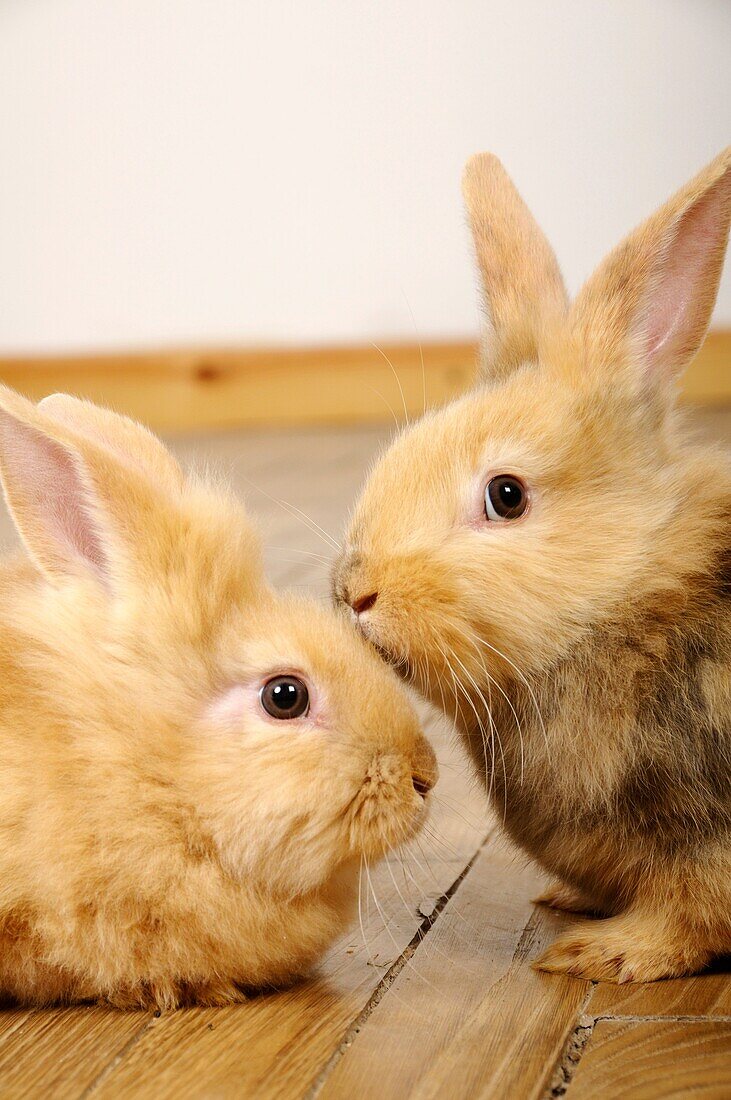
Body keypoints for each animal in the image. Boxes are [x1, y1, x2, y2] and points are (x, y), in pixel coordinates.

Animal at [331, 148, 729, 990]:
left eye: (505, 496)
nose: (355, 592)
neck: (624, 597)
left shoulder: (702, 834)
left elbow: (688, 916)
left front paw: (599, 954)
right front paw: (571, 905)